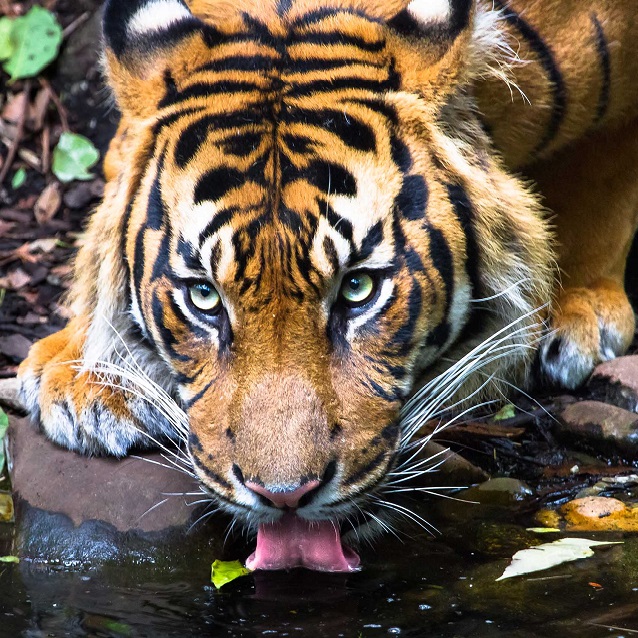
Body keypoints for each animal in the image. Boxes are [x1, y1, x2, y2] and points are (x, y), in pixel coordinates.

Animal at [16, 0, 638, 576]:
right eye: (205, 297)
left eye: (358, 288)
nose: (284, 496)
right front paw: (83, 376)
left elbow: (605, 174)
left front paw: (583, 303)